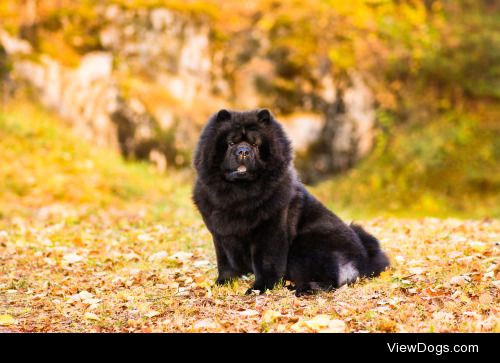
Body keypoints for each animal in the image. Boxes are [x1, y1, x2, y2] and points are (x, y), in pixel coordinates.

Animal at [193, 108, 388, 296]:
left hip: (305, 247)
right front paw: (222, 283)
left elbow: (266, 263)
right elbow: (225, 263)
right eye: (231, 143)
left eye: (255, 145)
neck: (239, 194)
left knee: (327, 280)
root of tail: (364, 262)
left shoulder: (269, 230)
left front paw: (259, 288)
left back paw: (302, 289)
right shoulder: (221, 234)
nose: (243, 151)